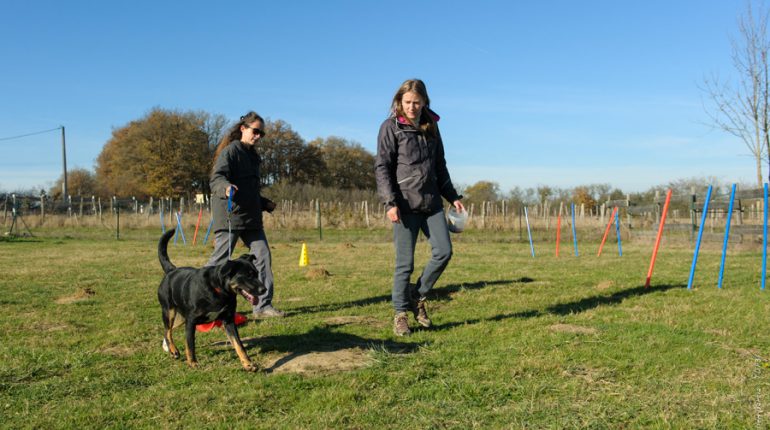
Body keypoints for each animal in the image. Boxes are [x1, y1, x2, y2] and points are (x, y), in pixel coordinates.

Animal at [155, 230, 264, 372]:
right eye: (248, 276)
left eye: (256, 274)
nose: (264, 289)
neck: (219, 290)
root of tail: (171, 270)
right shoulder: (191, 321)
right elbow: (190, 344)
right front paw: (192, 363)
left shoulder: (229, 321)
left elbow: (239, 344)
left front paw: (248, 363)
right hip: (169, 311)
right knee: (168, 330)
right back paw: (173, 350)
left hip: (180, 317)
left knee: (168, 330)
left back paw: (168, 347)